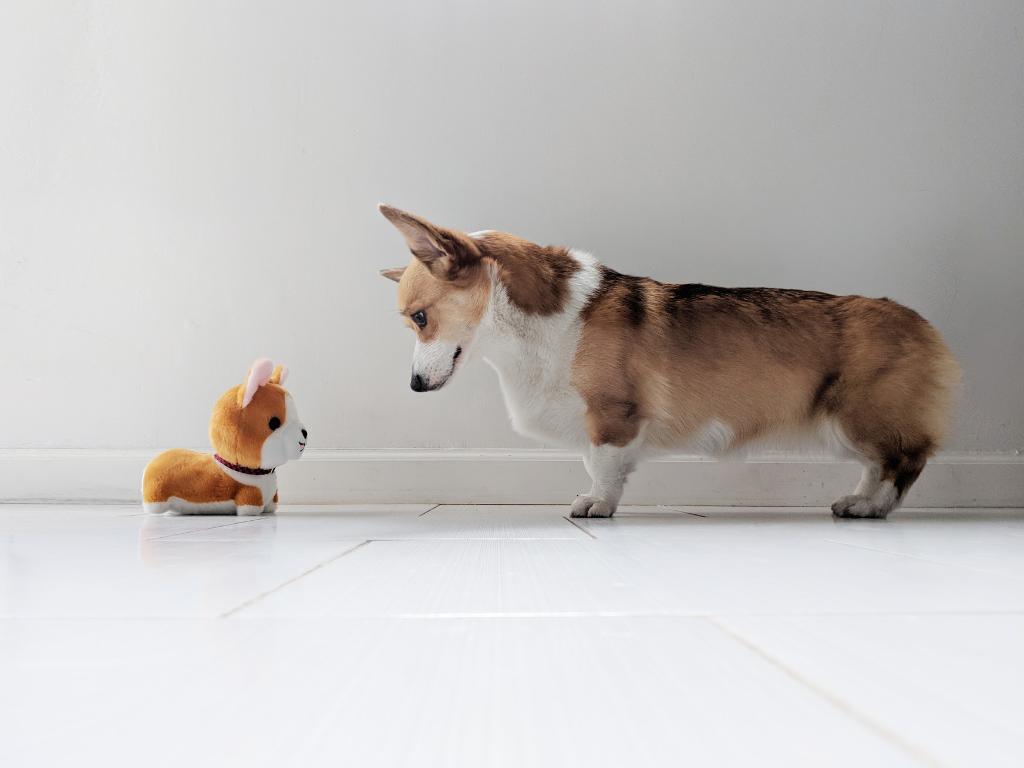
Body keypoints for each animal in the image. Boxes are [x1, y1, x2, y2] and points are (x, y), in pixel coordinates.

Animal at [143, 360, 307, 518]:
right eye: (274, 423)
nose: (305, 433)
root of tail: (150, 466)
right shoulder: (249, 495)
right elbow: (250, 508)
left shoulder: (273, 498)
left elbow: (271, 506)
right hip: (157, 496)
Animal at [378, 202, 958, 524]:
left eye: (421, 317)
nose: (413, 385)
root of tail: (926, 327)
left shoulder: (611, 415)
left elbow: (602, 466)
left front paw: (597, 506)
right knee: (877, 466)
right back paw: (854, 501)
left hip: (860, 417)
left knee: (902, 463)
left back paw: (871, 509)